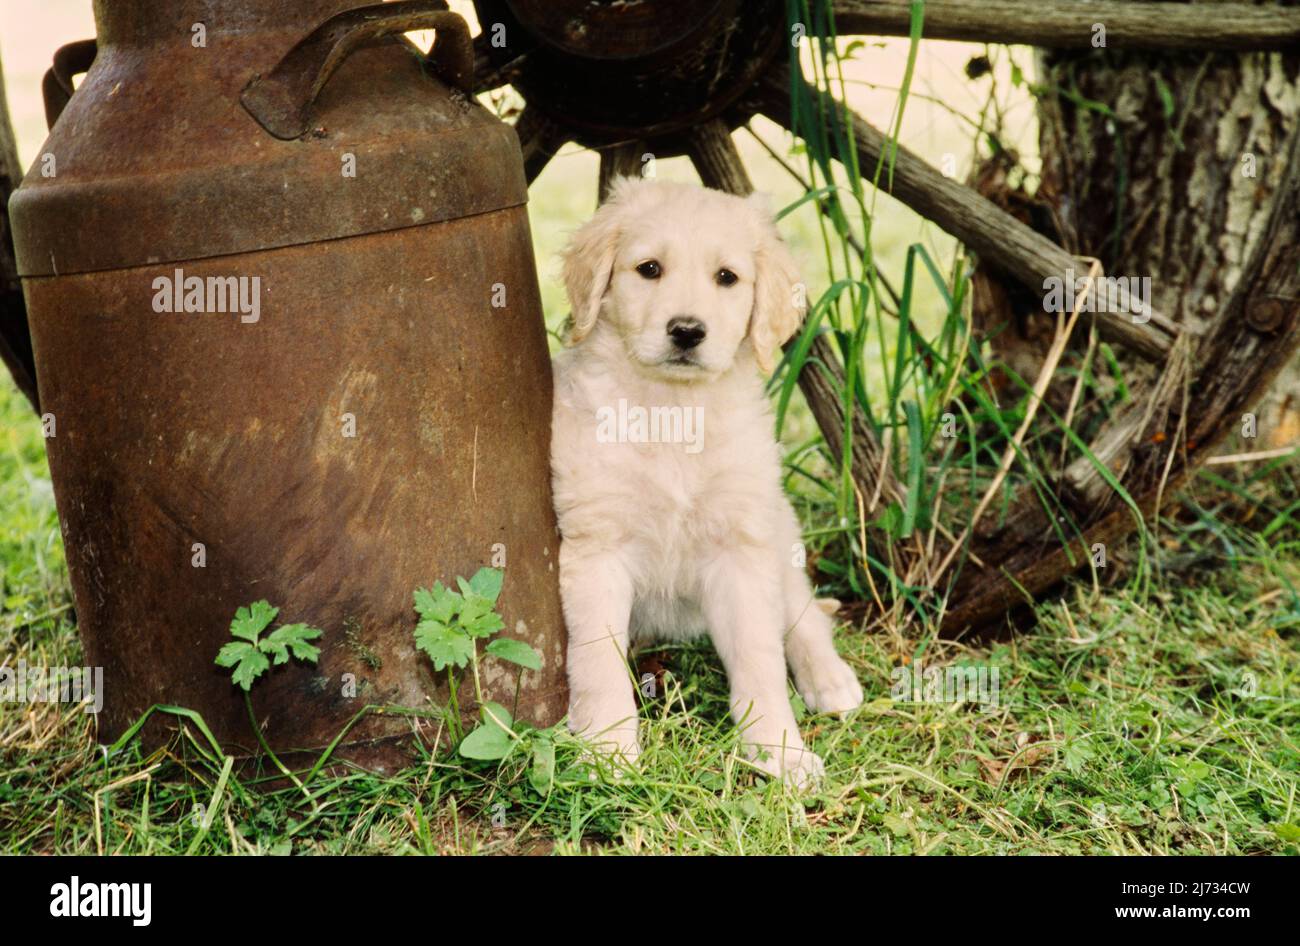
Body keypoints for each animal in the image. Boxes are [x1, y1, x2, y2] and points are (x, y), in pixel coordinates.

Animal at [551, 176, 863, 784]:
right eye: (649, 269)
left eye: (727, 278)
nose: (687, 332)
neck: (674, 410)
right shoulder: (596, 547)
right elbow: (597, 656)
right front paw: (608, 748)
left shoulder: (740, 549)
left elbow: (760, 659)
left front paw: (779, 750)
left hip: (778, 529)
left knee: (804, 613)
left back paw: (830, 680)